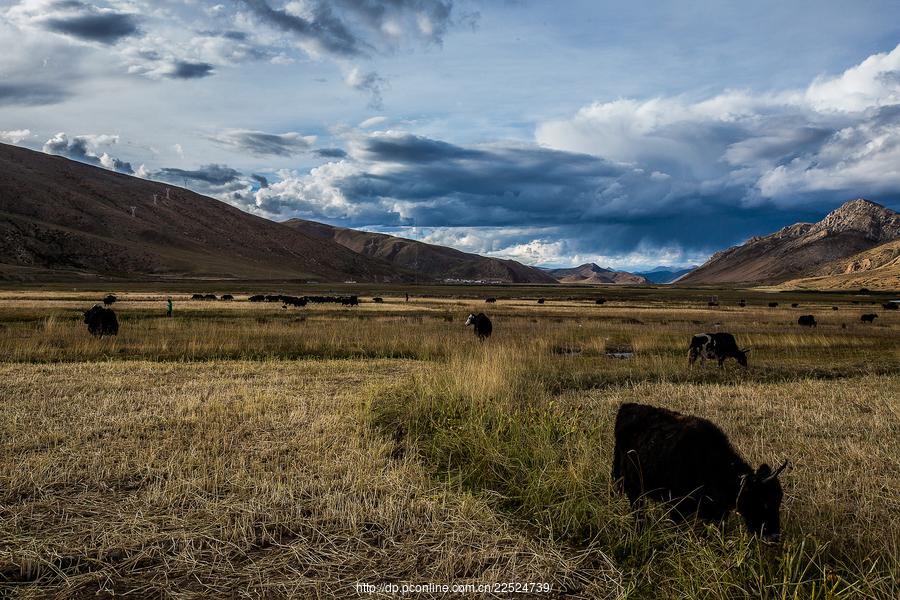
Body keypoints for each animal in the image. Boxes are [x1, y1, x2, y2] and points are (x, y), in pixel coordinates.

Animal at [616, 400, 784, 540]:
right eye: (763, 501)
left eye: (778, 500)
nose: (774, 536)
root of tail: (627, 406)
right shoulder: (676, 506)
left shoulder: (717, 513)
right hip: (630, 484)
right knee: (637, 508)